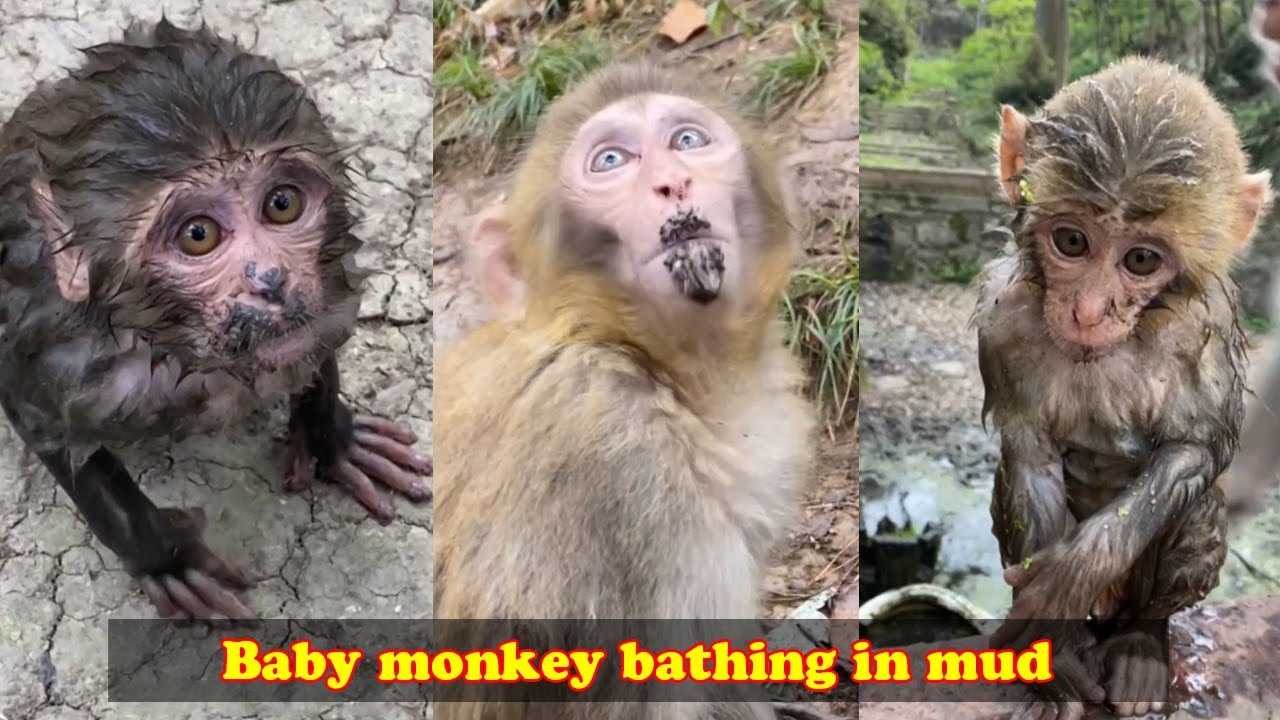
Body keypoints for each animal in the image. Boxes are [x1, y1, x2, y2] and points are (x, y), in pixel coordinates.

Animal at [0, 19, 432, 621]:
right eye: (198, 235)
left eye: (281, 204)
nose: (270, 281)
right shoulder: (65, 360)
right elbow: (54, 435)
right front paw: (169, 561)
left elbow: (320, 343)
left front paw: (335, 441)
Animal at [969, 56, 1273, 720]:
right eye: (1072, 241)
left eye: (1140, 260)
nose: (1087, 310)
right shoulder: (1005, 324)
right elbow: (1029, 457)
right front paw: (1054, 653)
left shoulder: (1204, 327)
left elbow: (1196, 449)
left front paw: (1071, 578)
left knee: (1195, 508)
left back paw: (1140, 640)